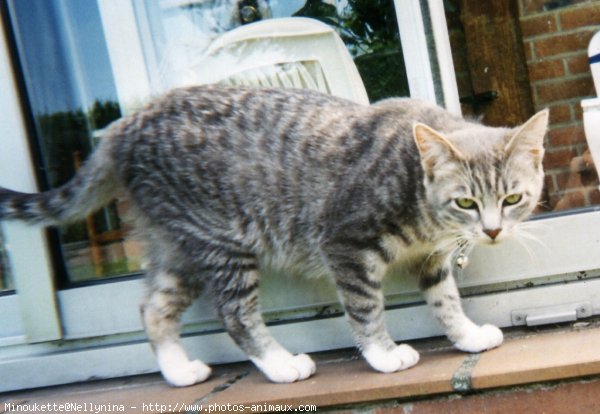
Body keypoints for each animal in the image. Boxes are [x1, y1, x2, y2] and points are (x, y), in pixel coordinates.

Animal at [0, 85, 548, 386]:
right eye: (466, 202)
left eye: (513, 199)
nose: (492, 231)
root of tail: (124, 125)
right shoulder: (345, 244)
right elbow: (365, 308)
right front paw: (384, 354)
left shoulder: (432, 258)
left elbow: (446, 300)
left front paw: (468, 335)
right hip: (221, 244)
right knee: (235, 315)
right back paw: (281, 365)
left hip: (177, 247)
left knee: (152, 307)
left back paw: (179, 371)